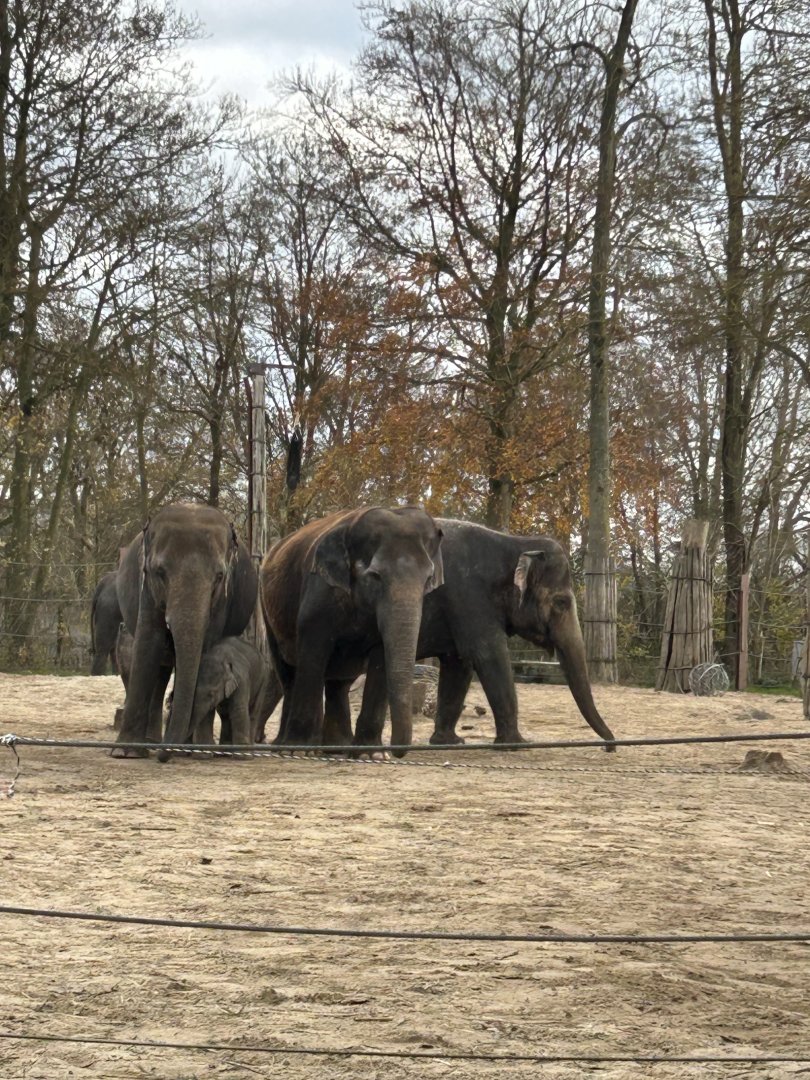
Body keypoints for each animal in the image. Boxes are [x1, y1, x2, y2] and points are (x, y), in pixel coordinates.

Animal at [112, 502, 259, 760]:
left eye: (219, 576)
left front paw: (192, 750)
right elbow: (148, 641)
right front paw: (124, 753)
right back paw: (151, 743)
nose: (164, 756)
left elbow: (204, 645)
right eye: (160, 572)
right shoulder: (146, 588)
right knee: (161, 669)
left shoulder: (222, 600)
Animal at [260, 506, 444, 756]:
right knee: (288, 674)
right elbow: (313, 652)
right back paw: (286, 746)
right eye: (375, 576)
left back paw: (337, 748)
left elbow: (381, 659)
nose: (397, 749)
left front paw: (372, 754)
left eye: (428, 579)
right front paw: (298, 752)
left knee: (339, 683)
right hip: (267, 611)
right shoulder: (319, 593)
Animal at [353, 519, 616, 751]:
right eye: (561, 602)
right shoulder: (469, 597)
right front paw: (517, 745)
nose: (609, 747)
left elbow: (459, 665)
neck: (516, 542)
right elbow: (489, 655)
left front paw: (450, 743)